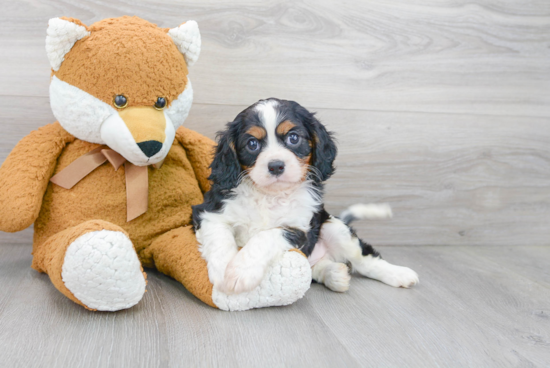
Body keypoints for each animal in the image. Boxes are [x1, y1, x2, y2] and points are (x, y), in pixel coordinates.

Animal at [192, 98, 420, 294]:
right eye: (252, 144)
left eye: (293, 138)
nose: (276, 166)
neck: (269, 195)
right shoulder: (209, 212)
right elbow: (219, 240)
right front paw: (223, 271)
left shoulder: (299, 227)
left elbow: (265, 237)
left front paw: (241, 271)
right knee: (315, 270)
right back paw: (335, 275)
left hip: (334, 227)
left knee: (365, 260)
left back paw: (398, 274)